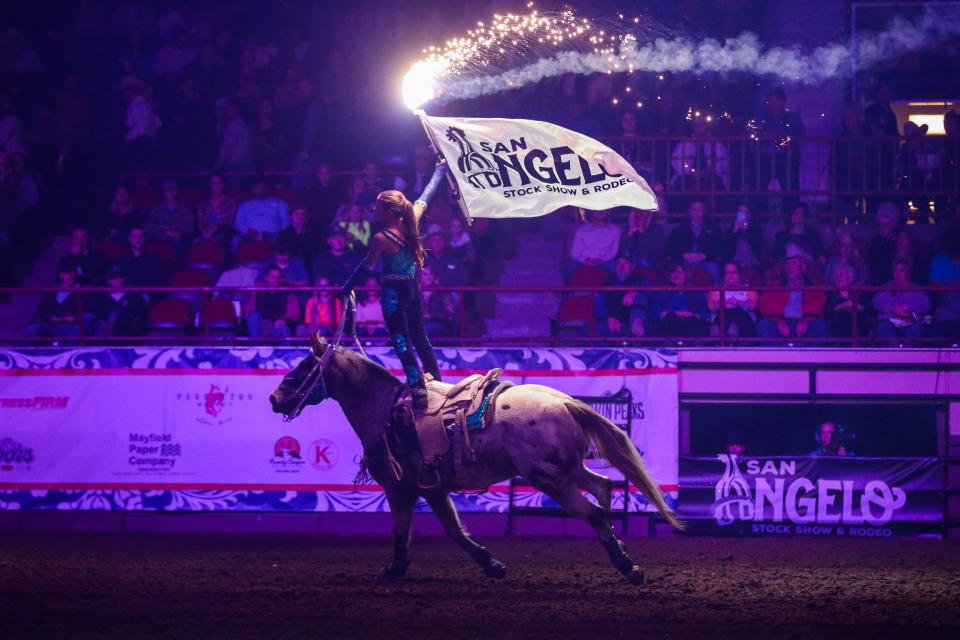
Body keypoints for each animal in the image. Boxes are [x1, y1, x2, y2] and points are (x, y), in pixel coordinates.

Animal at [270, 336, 684, 584]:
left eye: (305, 366)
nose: (275, 397)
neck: (386, 409)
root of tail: (566, 402)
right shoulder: (433, 489)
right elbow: (454, 530)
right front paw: (492, 564)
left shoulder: (400, 488)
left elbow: (404, 531)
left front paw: (392, 570)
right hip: (568, 470)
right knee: (604, 487)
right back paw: (622, 550)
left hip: (550, 478)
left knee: (594, 512)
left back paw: (628, 567)